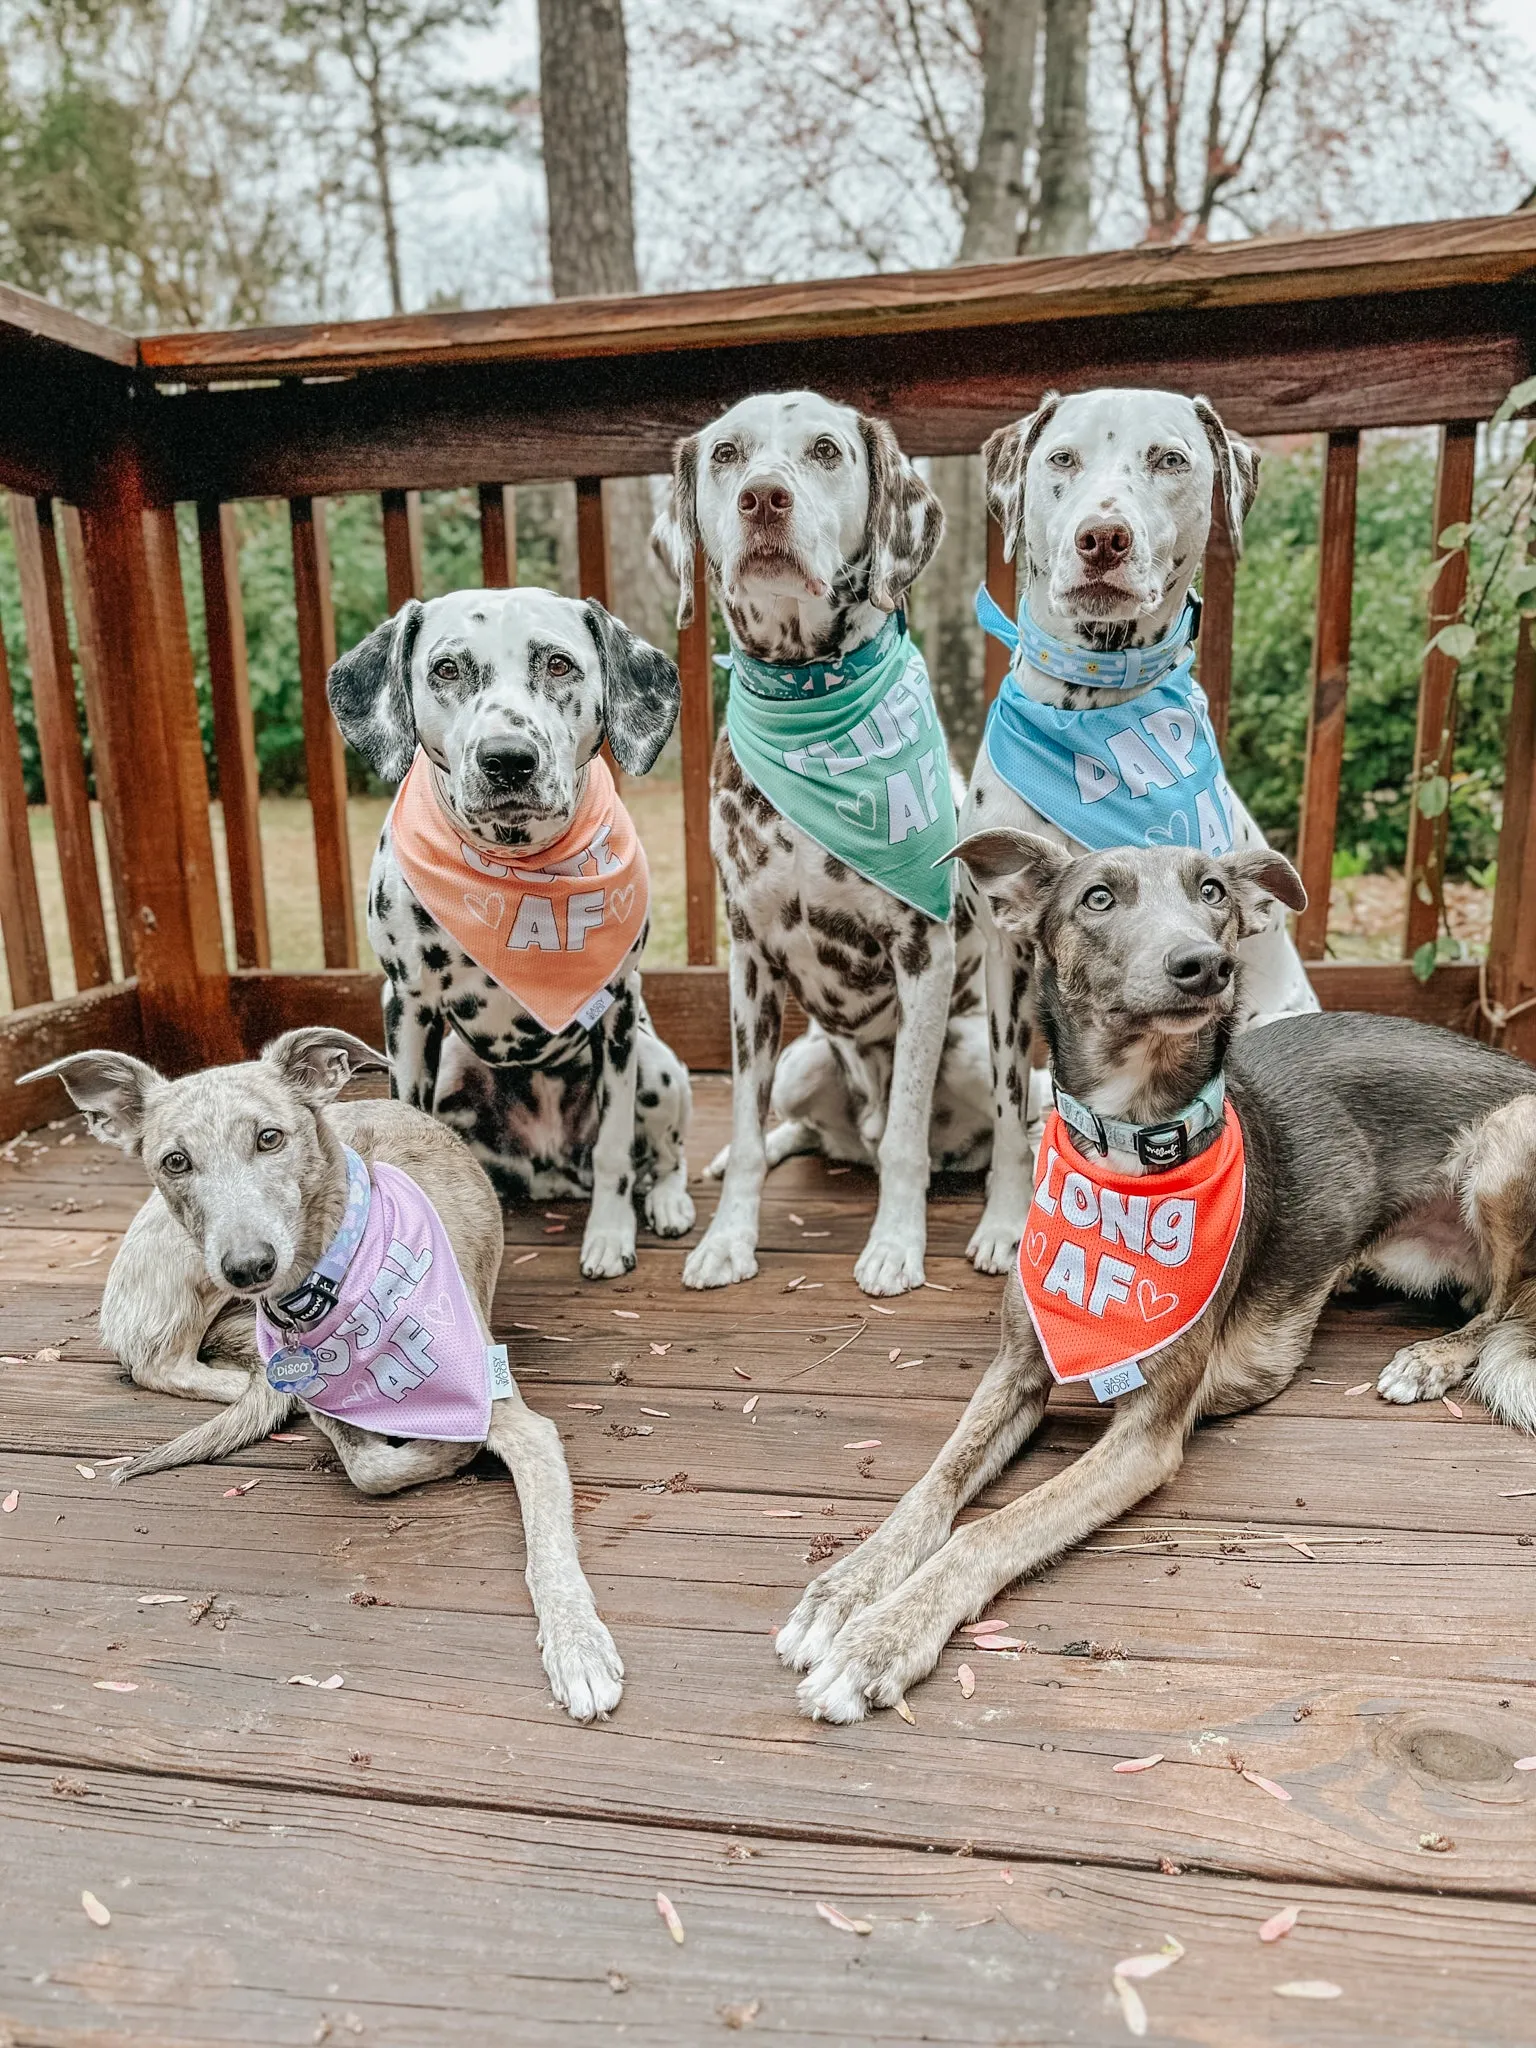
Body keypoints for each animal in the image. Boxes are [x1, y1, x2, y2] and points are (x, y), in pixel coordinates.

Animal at [333, 585, 700, 1269]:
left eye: (558, 664)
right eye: (446, 669)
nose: (508, 759)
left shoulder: (618, 1013)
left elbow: (616, 1148)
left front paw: (610, 1235)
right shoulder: (408, 1009)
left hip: (659, 1068)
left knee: (663, 1159)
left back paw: (668, 1202)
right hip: (456, 1071)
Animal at [651, 391, 991, 1302]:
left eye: (826, 451)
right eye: (727, 453)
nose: (763, 499)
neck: (810, 700)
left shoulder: (923, 952)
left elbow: (907, 1137)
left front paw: (896, 1246)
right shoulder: (749, 961)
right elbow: (744, 1115)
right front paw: (730, 1239)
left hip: (976, 1050)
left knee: (914, 1139)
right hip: (807, 1061)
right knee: (798, 1132)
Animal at [786, 823, 1536, 1720]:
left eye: (1211, 892)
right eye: (1098, 898)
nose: (1201, 965)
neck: (1128, 1145)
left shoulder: (1146, 1436)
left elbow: (990, 1528)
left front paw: (884, 1639)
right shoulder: (1016, 1369)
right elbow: (933, 1487)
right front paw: (847, 1586)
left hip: (1509, 1139)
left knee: (1510, 1301)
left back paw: (1431, 1359)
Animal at [966, 385, 1318, 1269]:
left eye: (1170, 459)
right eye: (1062, 458)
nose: (1103, 537)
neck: (1096, 716)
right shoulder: (1000, 954)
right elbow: (1005, 1104)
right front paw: (1004, 1220)